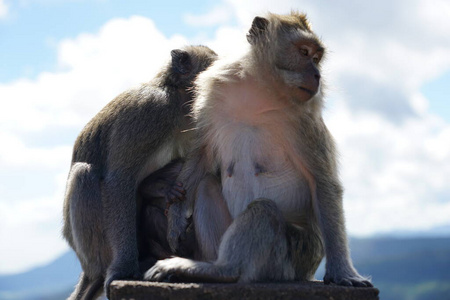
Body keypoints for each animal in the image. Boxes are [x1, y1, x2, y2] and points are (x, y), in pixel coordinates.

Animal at [62, 45, 217, 300]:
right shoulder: (147, 112)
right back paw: (107, 270)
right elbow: (119, 180)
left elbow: (190, 166)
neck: (177, 104)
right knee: (83, 175)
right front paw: (123, 268)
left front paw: (175, 216)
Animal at [147, 12, 372, 288]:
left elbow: (323, 182)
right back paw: (208, 266)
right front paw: (176, 218)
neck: (258, 92)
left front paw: (343, 272)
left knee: (263, 210)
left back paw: (222, 270)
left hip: (292, 258)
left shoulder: (305, 121)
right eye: (304, 52)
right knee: (207, 185)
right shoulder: (212, 95)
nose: (317, 75)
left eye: (317, 58)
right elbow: (202, 156)